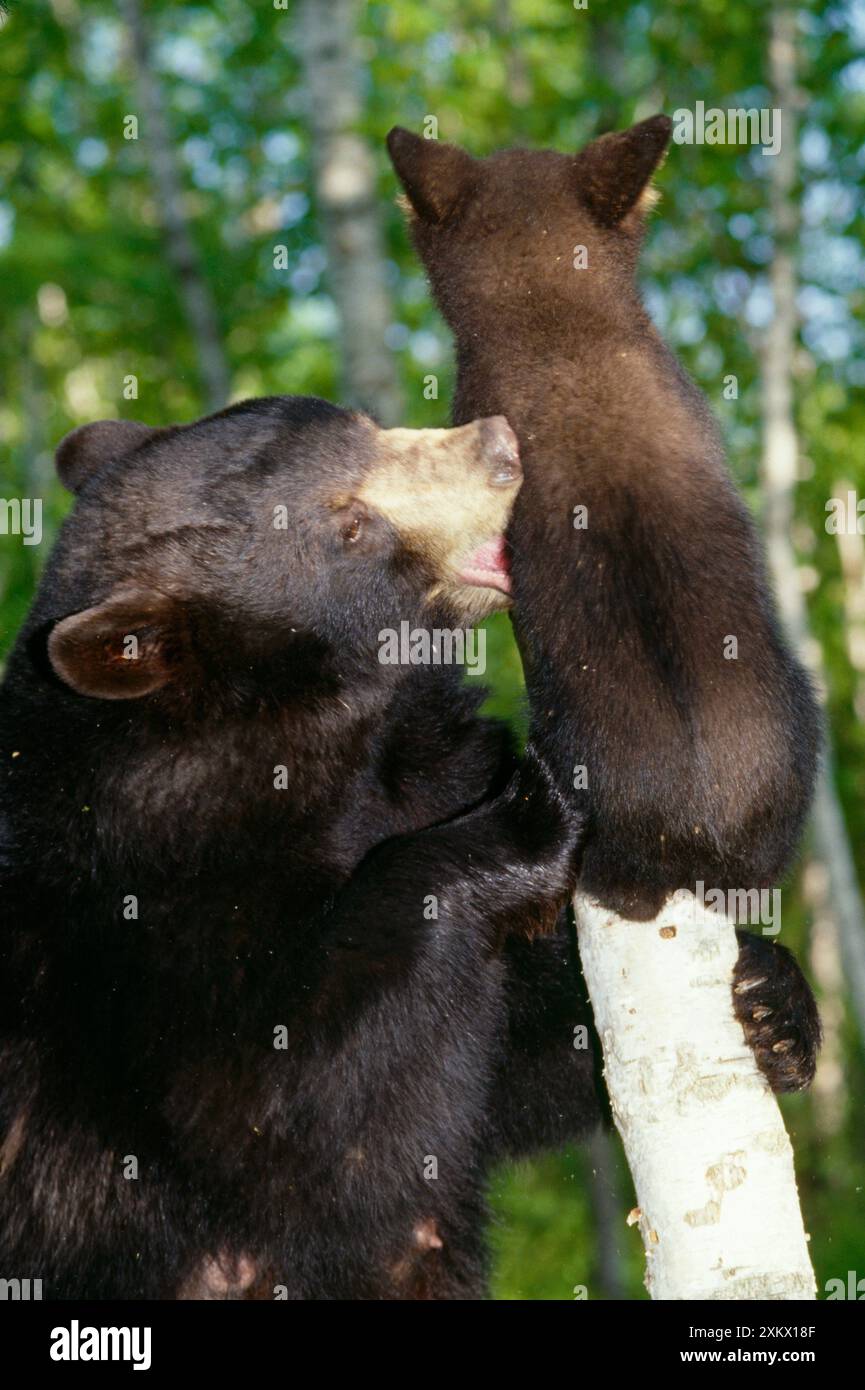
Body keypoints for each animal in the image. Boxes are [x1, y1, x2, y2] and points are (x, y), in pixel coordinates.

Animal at [0, 394, 603, 1301]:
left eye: (367, 424)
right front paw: (529, 812)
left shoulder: (418, 768)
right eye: (348, 528)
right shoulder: (134, 924)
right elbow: (295, 1120)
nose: (501, 450)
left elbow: (493, 1072)